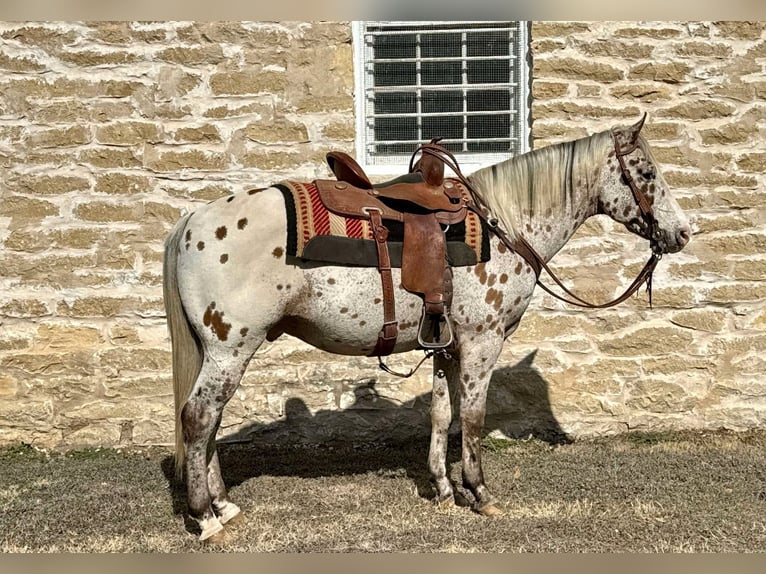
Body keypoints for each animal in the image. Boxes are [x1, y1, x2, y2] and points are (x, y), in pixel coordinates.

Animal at [164, 115, 696, 544]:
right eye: (646, 173)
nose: (683, 233)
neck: (504, 227)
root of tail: (192, 220)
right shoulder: (482, 341)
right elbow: (474, 418)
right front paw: (479, 493)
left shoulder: (446, 345)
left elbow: (442, 414)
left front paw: (442, 488)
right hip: (231, 348)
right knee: (199, 417)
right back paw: (206, 519)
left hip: (218, 351)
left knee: (207, 422)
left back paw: (223, 506)